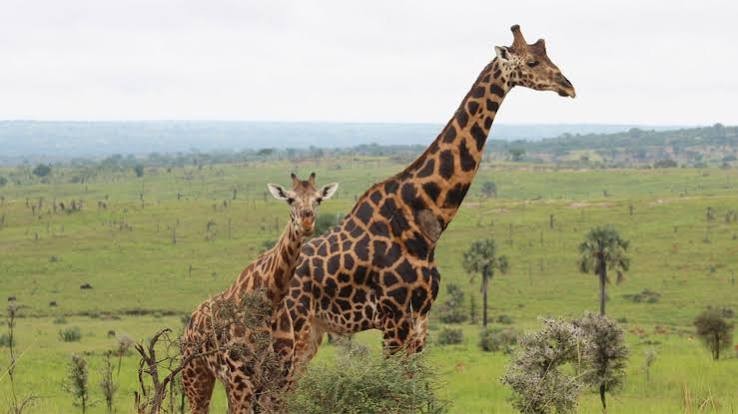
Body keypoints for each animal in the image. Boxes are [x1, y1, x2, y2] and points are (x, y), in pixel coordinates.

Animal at [181, 173, 338, 413]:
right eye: (290, 199)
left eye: (318, 199)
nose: (307, 222)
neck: (272, 299)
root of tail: (190, 323)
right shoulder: (240, 376)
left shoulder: (279, 377)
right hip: (195, 375)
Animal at [269, 25, 576, 383]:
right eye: (531, 62)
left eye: (547, 56)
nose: (568, 86)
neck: (425, 220)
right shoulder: (394, 318)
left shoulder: (420, 319)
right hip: (288, 330)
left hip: (312, 332)